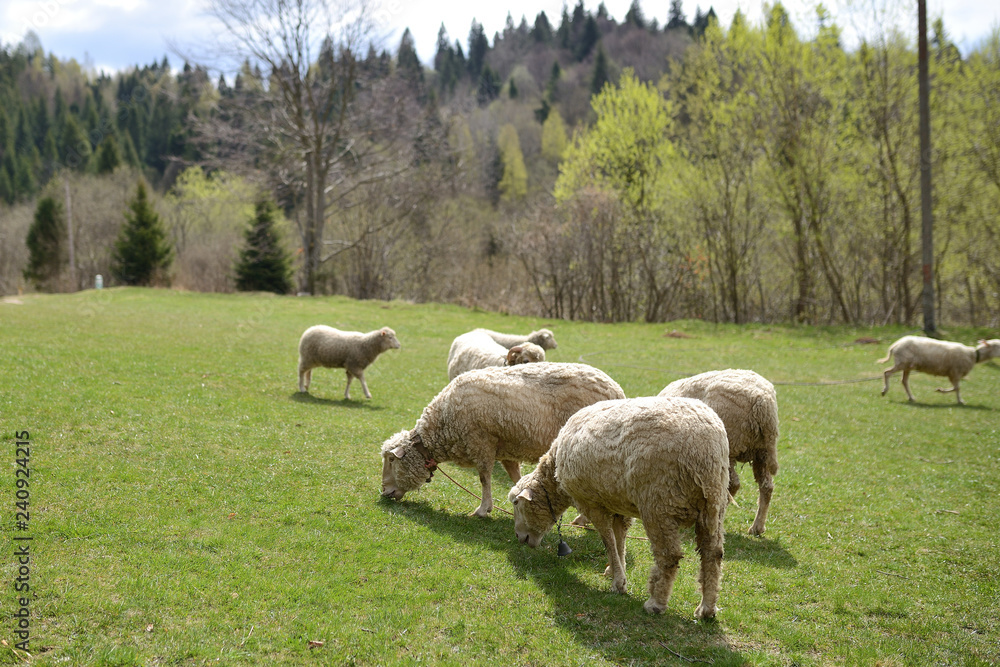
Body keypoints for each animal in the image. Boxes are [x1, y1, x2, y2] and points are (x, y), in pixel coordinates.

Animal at [380, 362, 625, 517]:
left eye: (391, 460)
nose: (384, 492)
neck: (443, 423)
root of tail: (617, 390)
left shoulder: (480, 442)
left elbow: (484, 478)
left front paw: (483, 510)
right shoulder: (505, 450)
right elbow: (515, 477)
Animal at [508, 396, 729, 619]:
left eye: (516, 503)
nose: (519, 537)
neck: (555, 476)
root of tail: (703, 445)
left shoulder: (592, 504)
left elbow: (608, 540)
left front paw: (618, 583)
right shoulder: (616, 503)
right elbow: (619, 538)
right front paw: (615, 570)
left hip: (658, 503)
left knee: (669, 555)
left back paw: (656, 603)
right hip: (713, 504)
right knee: (713, 553)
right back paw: (706, 609)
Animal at [658, 369, 779, 537]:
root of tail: (764, 402)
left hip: (731, 446)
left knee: (733, 484)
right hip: (761, 451)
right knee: (766, 486)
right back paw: (757, 527)